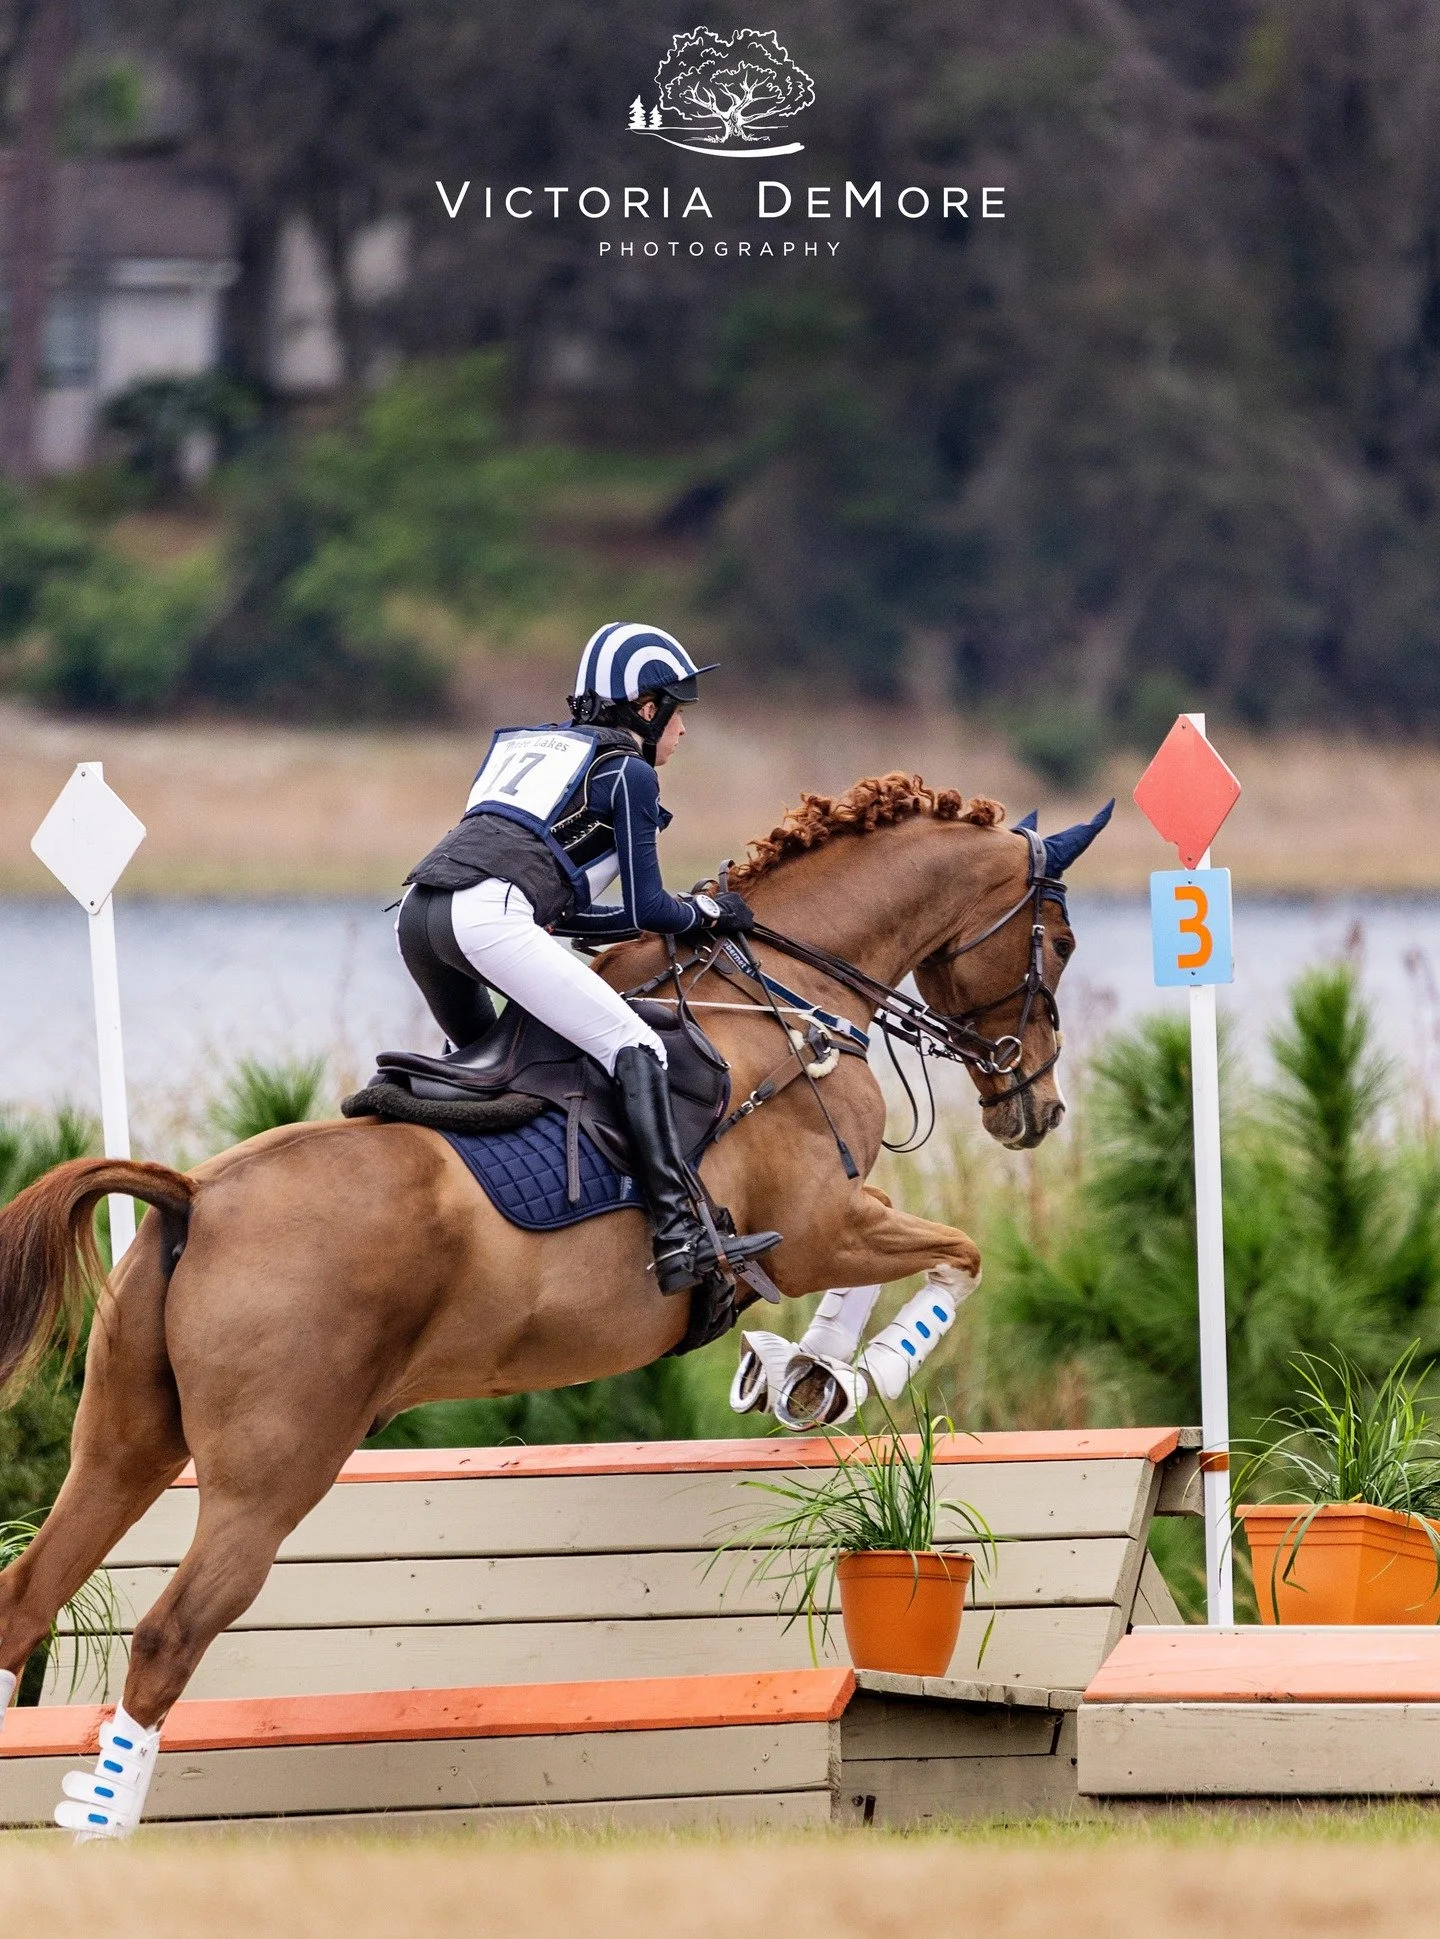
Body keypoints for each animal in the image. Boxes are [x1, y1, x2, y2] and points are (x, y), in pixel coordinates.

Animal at [0, 771, 1108, 1829]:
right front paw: (846, 1370)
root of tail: (196, 1195)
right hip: (272, 1473)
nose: (1037, 1107)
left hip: (125, 1445)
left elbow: (915, 1269)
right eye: (1058, 941)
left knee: (26, 1596)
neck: (784, 1000)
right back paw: (103, 1824)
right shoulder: (819, 1226)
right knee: (169, 1633)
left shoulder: (830, 1224)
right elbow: (956, 1257)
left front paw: (798, 1373)